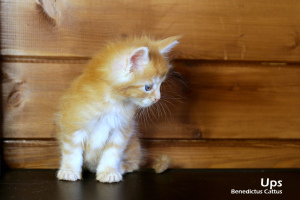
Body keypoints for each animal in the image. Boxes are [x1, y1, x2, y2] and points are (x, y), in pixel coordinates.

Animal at [55, 35, 178, 183]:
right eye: (148, 87)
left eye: (160, 85)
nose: (157, 98)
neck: (112, 103)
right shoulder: (72, 125)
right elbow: (72, 152)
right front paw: (69, 170)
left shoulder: (121, 131)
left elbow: (112, 153)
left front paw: (108, 172)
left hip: (133, 145)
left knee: (134, 163)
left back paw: (122, 167)